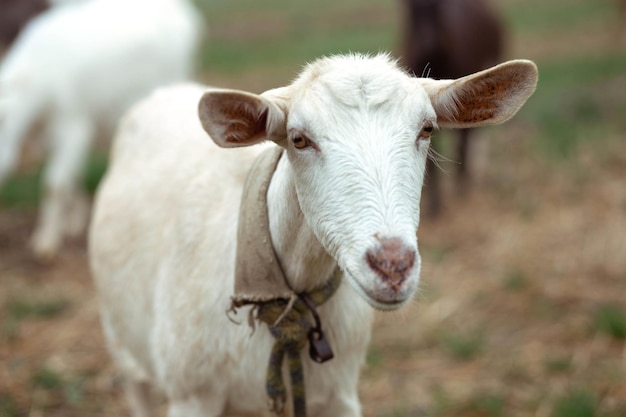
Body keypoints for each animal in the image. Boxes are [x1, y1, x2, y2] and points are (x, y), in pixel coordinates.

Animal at [0, 0, 201, 258]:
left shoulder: (73, 124)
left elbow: (54, 185)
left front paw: (46, 241)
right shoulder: (46, 135)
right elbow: (72, 174)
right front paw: (73, 221)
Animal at [400, 0, 502, 214]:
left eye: (437, 11)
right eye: (411, 11)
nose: (428, 43)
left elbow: (463, 144)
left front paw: (461, 188)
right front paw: (435, 206)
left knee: (475, 136)